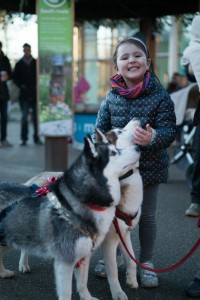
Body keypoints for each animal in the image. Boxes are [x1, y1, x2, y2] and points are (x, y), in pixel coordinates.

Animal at [0, 131, 141, 300]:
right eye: (113, 152)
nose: (138, 147)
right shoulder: (67, 260)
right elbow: (70, 291)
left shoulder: (90, 251)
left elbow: (84, 282)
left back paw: (6, 271)